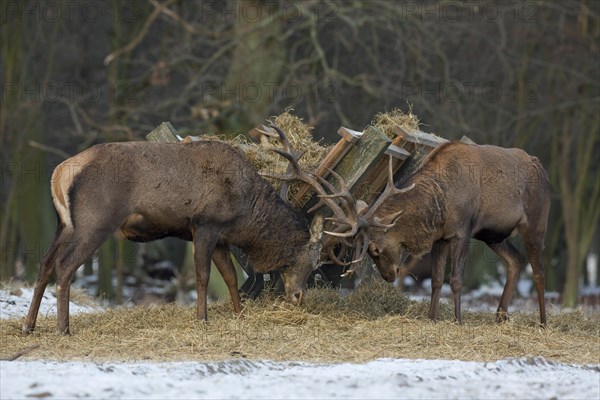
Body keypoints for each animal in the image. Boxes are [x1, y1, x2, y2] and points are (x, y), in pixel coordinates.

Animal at [23, 137, 338, 334]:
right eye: (313, 261)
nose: (298, 297)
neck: (244, 213)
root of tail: (59, 173)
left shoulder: (220, 237)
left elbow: (230, 277)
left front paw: (239, 315)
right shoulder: (205, 224)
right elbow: (203, 276)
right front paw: (202, 319)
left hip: (64, 224)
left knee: (45, 262)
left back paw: (29, 326)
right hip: (95, 221)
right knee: (64, 265)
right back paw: (63, 329)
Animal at [332, 142, 552, 326]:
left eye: (376, 248)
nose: (388, 276)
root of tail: (544, 171)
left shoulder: (462, 231)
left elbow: (455, 280)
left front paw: (458, 320)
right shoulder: (440, 238)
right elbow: (436, 280)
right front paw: (432, 318)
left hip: (536, 223)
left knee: (539, 271)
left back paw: (543, 322)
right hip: (493, 235)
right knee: (516, 259)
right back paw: (500, 316)